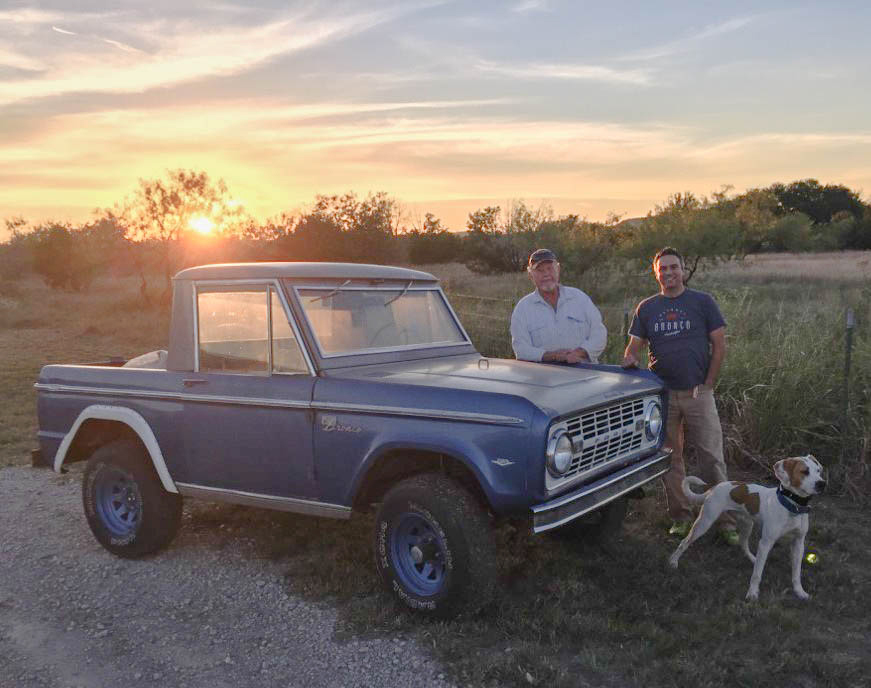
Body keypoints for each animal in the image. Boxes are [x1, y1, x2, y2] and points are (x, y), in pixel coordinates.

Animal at [672, 456, 828, 600]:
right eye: (804, 471)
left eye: (818, 471)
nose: (822, 483)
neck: (791, 507)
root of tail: (714, 487)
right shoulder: (766, 543)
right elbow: (757, 574)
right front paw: (752, 593)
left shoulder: (798, 543)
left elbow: (796, 573)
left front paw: (799, 592)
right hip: (704, 522)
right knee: (684, 542)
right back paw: (673, 561)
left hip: (747, 524)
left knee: (743, 544)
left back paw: (753, 558)